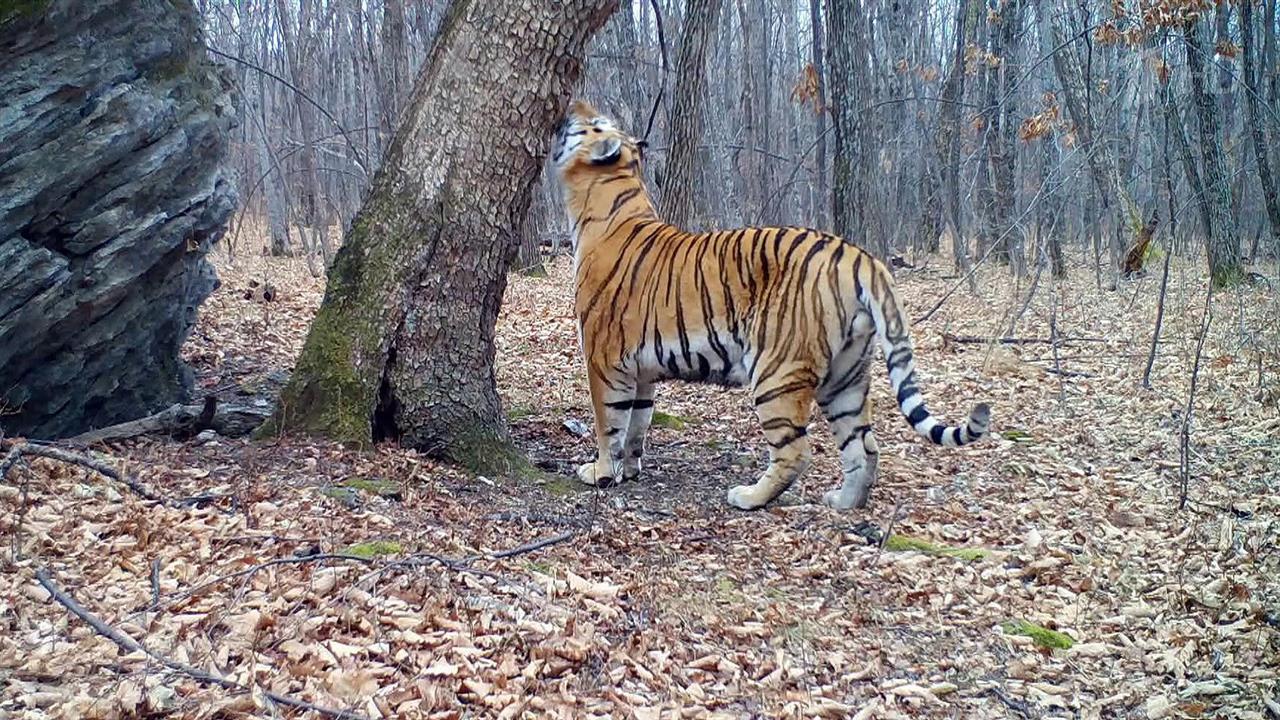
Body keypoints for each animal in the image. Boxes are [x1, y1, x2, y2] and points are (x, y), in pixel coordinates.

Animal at [550, 101, 988, 507]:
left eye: (595, 123)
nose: (572, 105)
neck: (609, 193)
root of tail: (860, 257)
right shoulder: (641, 368)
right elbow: (638, 422)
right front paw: (629, 470)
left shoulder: (605, 359)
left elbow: (609, 422)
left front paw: (601, 472)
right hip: (845, 375)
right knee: (864, 446)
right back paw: (844, 502)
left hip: (777, 372)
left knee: (796, 452)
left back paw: (749, 497)